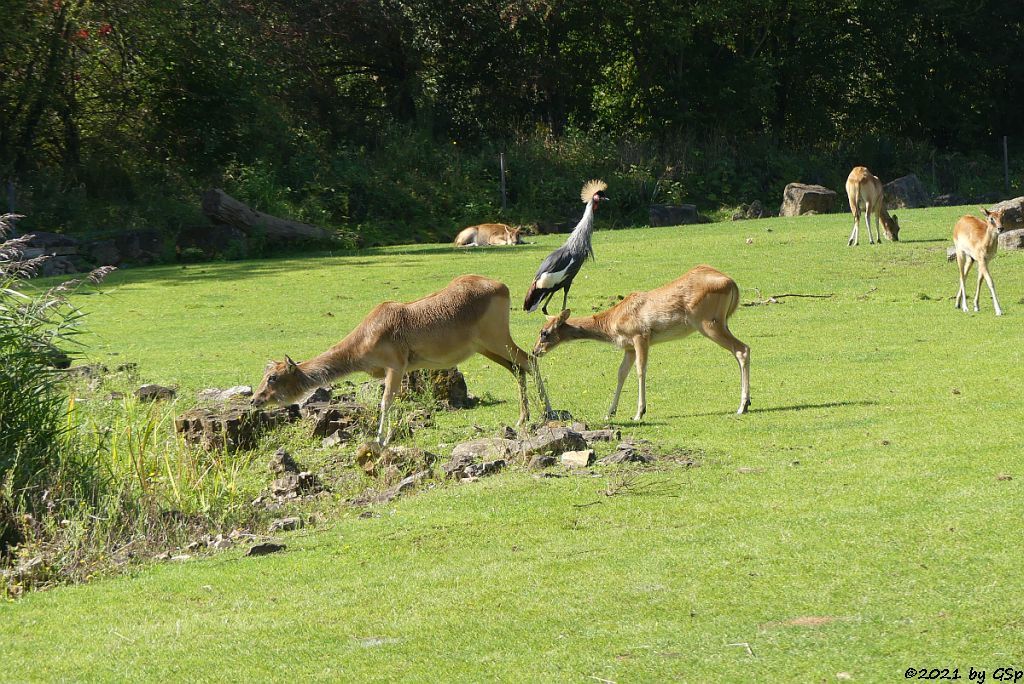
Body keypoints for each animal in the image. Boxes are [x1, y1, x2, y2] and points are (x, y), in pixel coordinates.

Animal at [249, 274, 552, 446]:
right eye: (264, 375)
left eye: (273, 377)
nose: (255, 399)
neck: (363, 342)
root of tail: (503, 287)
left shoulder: (395, 364)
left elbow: (386, 401)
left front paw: (380, 439)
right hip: (484, 346)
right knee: (518, 367)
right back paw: (523, 418)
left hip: (496, 336)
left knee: (529, 359)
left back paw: (547, 412)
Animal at [532, 266, 749, 417]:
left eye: (544, 332)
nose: (535, 351)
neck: (612, 321)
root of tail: (732, 283)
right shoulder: (628, 347)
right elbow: (621, 373)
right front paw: (610, 412)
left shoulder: (640, 336)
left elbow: (640, 370)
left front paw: (639, 412)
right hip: (721, 323)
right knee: (741, 349)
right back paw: (746, 403)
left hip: (709, 324)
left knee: (742, 349)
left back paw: (741, 406)